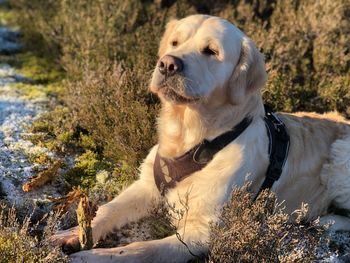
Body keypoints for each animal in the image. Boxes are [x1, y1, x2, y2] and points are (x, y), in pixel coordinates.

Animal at [52, 14, 350, 263]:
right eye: (175, 42)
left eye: (211, 51)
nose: (167, 64)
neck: (192, 140)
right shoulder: (146, 185)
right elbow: (109, 209)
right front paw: (73, 233)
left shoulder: (201, 231)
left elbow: (141, 249)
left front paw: (92, 256)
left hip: (339, 159)